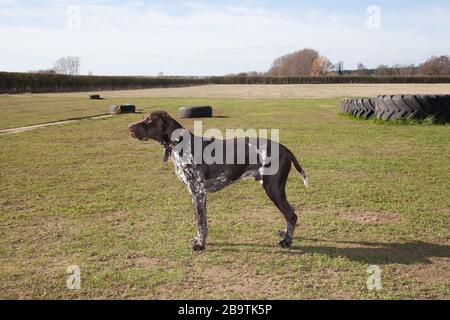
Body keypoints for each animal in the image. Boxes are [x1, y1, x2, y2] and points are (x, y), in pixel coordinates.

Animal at [128, 111, 308, 251]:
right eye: (144, 117)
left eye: (149, 120)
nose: (129, 127)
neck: (181, 144)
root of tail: (285, 149)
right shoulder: (195, 195)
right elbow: (200, 222)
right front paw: (198, 240)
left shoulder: (199, 193)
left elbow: (201, 223)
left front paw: (200, 245)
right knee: (290, 211)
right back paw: (285, 234)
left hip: (273, 188)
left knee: (291, 215)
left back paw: (287, 242)